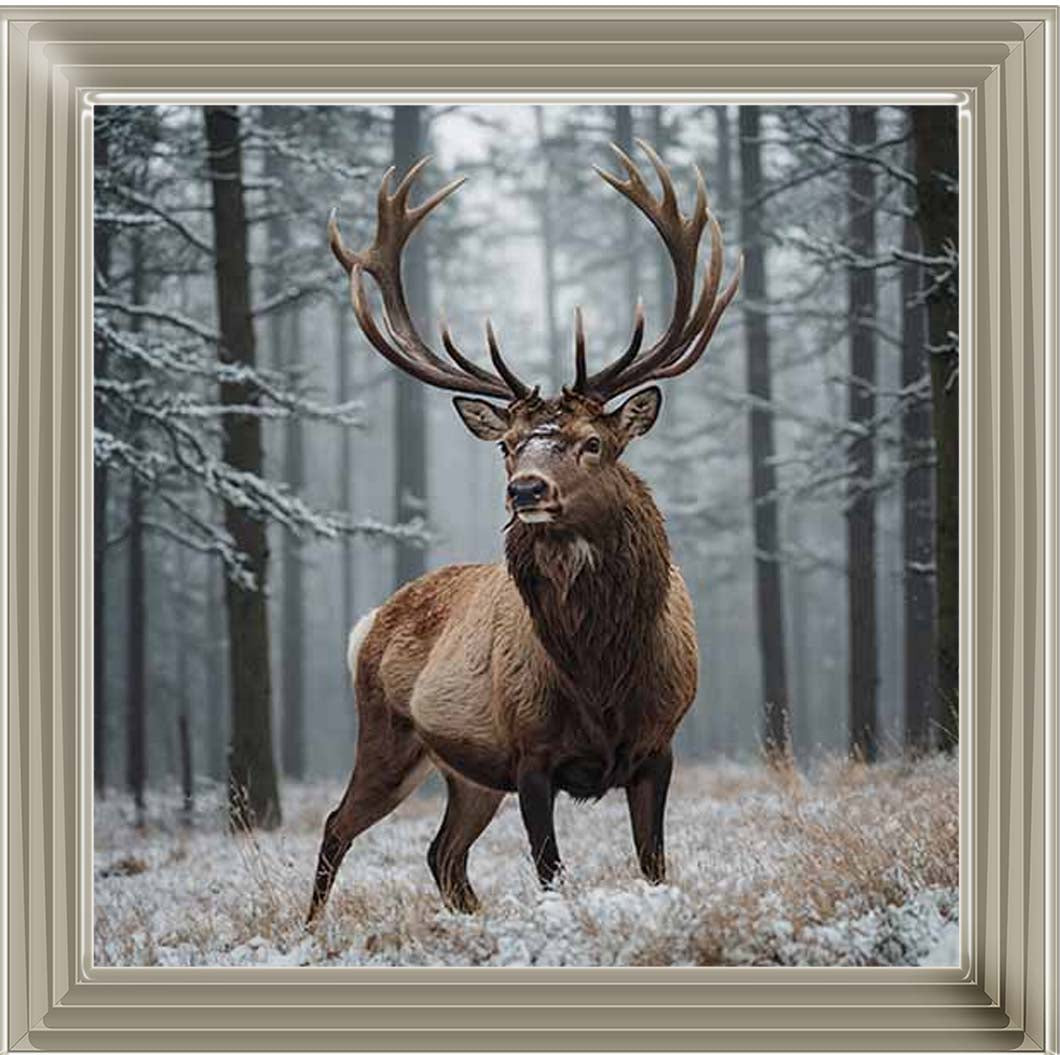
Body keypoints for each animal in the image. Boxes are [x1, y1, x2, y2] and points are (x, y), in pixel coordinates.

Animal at [307, 140, 741, 923]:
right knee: (337, 824)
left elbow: (654, 864)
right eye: (508, 446)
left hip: (468, 775)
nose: (526, 490)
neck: (602, 676)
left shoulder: (660, 745)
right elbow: (550, 871)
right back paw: (312, 929)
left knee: (442, 854)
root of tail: (370, 621)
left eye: (594, 442)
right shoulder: (530, 753)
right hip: (389, 735)